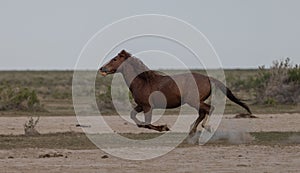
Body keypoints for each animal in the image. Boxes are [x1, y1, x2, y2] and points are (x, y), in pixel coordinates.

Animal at [99, 49, 252, 134]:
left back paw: (205, 127)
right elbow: (134, 118)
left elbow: (147, 123)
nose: (102, 69)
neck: (142, 81)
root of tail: (208, 78)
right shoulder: (141, 105)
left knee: (209, 109)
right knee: (202, 112)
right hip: (196, 101)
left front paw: (164, 127)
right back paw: (192, 130)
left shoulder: (148, 106)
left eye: (115, 59)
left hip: (194, 101)